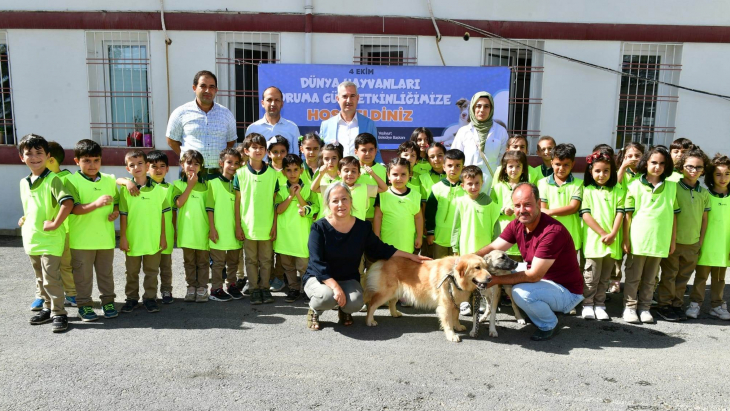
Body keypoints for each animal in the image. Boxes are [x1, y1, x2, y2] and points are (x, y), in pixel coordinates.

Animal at [362, 256, 490, 342]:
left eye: (486, 267)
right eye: (477, 267)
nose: (490, 278)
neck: (453, 276)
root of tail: (380, 261)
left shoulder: (455, 303)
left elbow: (456, 316)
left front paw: (458, 326)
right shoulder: (445, 305)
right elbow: (448, 321)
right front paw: (451, 335)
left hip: (396, 291)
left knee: (391, 302)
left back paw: (394, 313)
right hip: (386, 292)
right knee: (372, 305)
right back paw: (369, 321)